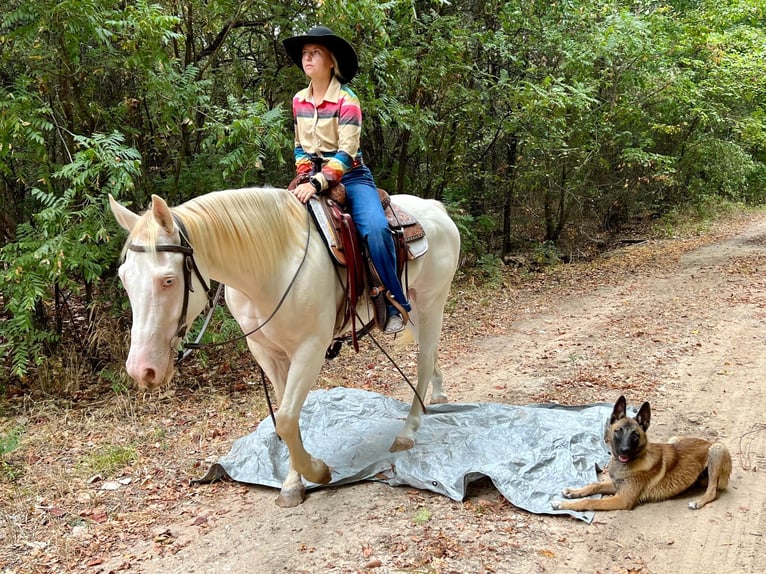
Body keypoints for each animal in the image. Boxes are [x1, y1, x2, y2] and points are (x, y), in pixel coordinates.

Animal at [109, 189, 462, 508]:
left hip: (431, 301)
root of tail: (435, 208)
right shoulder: (266, 352)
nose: (141, 369)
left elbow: (287, 419)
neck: (273, 267)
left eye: (168, 280)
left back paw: (408, 430)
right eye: (124, 278)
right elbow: (285, 416)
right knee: (430, 354)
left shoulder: (310, 350)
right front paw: (294, 483)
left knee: (424, 359)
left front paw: (318, 472)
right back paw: (437, 396)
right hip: (412, 306)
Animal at [552, 396, 732, 512]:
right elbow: (594, 485)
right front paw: (573, 492)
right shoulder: (617, 486)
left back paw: (698, 502)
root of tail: (707, 442)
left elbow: (590, 502)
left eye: (635, 435)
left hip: (716, 450)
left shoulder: (623, 499)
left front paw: (564, 505)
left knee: (712, 491)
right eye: (618, 431)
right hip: (675, 439)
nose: (624, 450)